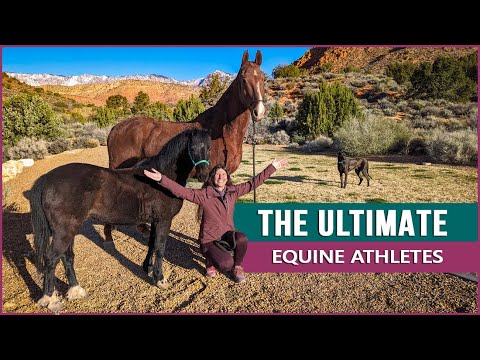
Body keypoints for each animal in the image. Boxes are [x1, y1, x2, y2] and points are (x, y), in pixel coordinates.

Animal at [30, 129, 210, 312]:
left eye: (209, 147)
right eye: (192, 148)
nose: (203, 175)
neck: (161, 179)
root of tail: (46, 179)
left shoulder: (154, 221)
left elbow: (152, 245)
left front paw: (147, 268)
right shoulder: (163, 221)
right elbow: (160, 249)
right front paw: (160, 279)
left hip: (69, 230)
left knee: (67, 257)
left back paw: (75, 290)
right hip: (63, 231)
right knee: (51, 259)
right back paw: (50, 299)